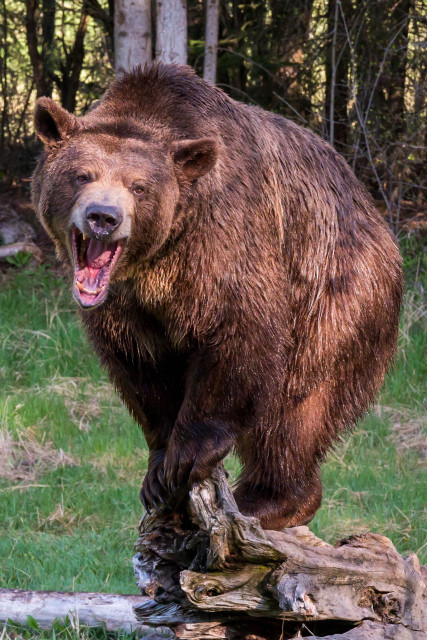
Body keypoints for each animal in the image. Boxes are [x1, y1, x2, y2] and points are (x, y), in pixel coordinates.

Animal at [32, 63, 402, 530]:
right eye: (82, 174)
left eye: (138, 186)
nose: (103, 217)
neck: (158, 261)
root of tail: (377, 217)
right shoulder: (125, 307)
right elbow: (140, 367)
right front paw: (156, 474)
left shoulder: (225, 239)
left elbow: (240, 331)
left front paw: (188, 457)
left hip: (338, 294)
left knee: (297, 409)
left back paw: (267, 499)